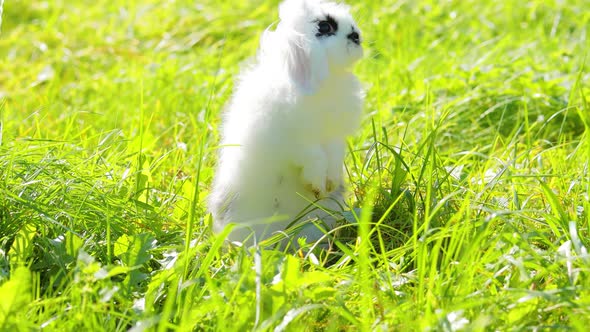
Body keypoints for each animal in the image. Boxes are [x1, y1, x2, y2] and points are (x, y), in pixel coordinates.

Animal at [210, 0, 364, 246]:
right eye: (325, 27)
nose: (357, 36)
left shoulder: (333, 136)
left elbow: (332, 156)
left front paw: (329, 183)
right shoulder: (298, 143)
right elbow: (315, 158)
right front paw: (317, 186)